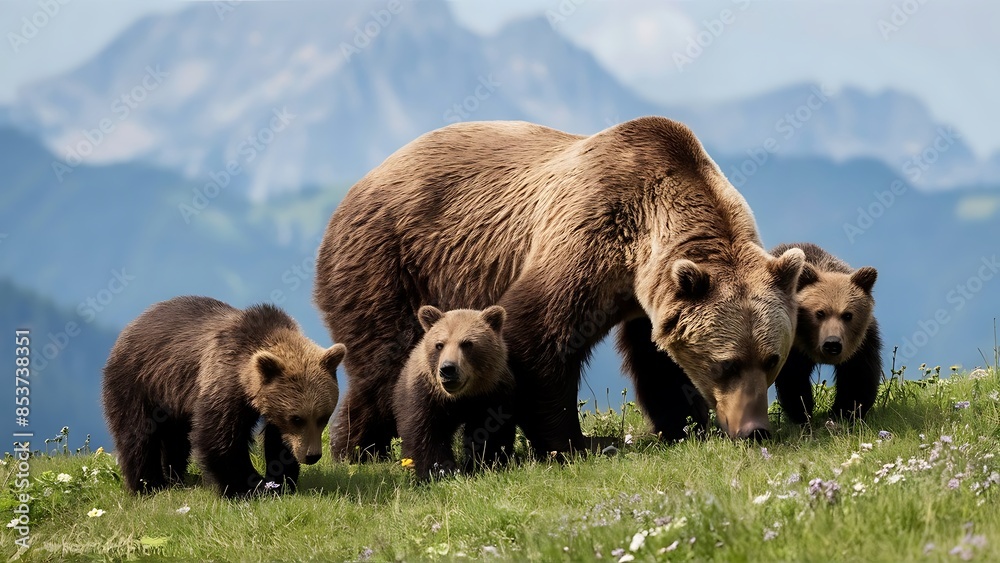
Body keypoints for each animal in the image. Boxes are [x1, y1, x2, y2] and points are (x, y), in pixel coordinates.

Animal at [101, 296, 345, 497]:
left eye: (323, 417)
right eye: (297, 418)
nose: (312, 455)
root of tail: (133, 323)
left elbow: (277, 441)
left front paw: (282, 481)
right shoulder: (223, 380)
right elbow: (218, 436)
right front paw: (246, 486)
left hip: (174, 397)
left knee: (175, 438)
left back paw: (175, 476)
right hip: (139, 381)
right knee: (138, 434)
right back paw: (148, 484)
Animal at [314, 116, 806, 459]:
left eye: (771, 359)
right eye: (726, 363)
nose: (754, 428)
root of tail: (354, 189)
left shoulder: (648, 298)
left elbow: (655, 359)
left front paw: (683, 424)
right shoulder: (589, 231)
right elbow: (540, 332)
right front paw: (569, 442)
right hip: (387, 260)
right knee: (382, 361)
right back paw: (359, 448)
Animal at [393, 305, 515, 480]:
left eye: (467, 343)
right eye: (439, 345)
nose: (448, 369)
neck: (460, 398)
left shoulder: (491, 393)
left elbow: (491, 431)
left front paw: (485, 464)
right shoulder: (425, 395)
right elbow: (425, 433)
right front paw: (438, 470)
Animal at [770, 243, 882, 424]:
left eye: (848, 315)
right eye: (819, 313)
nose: (832, 343)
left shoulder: (861, 344)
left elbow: (858, 377)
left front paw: (844, 413)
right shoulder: (791, 346)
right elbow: (793, 379)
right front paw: (803, 415)